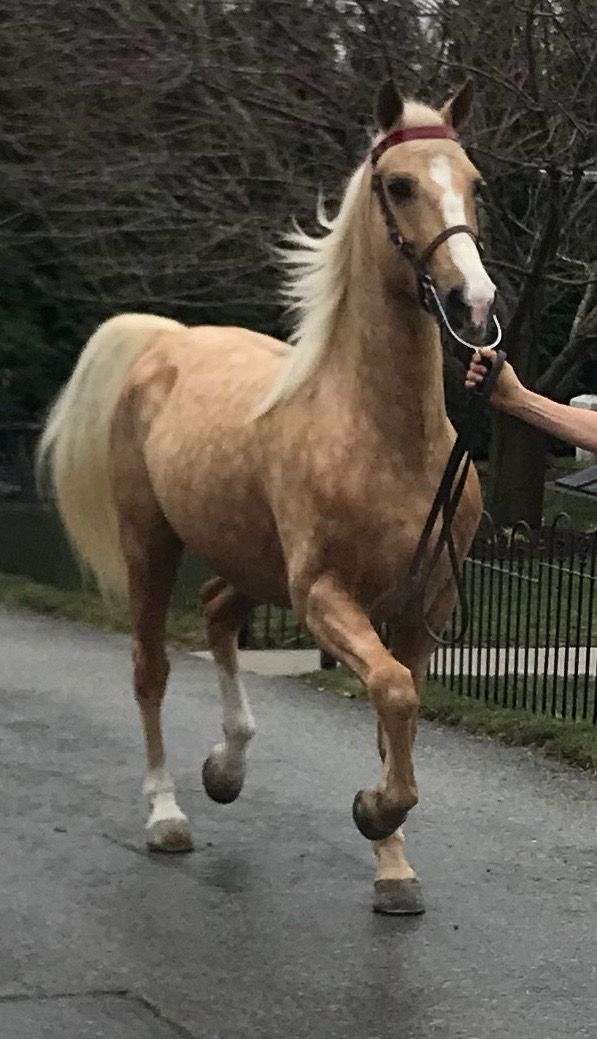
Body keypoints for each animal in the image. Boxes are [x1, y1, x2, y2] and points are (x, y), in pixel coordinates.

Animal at [38, 81, 494, 914]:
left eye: (474, 184)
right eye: (398, 185)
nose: (471, 299)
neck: (388, 437)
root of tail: (167, 341)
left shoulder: (424, 603)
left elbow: (397, 714)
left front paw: (392, 864)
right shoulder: (322, 594)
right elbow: (392, 694)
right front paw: (372, 811)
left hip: (249, 558)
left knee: (218, 612)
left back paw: (228, 767)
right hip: (152, 543)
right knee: (150, 667)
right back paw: (168, 814)